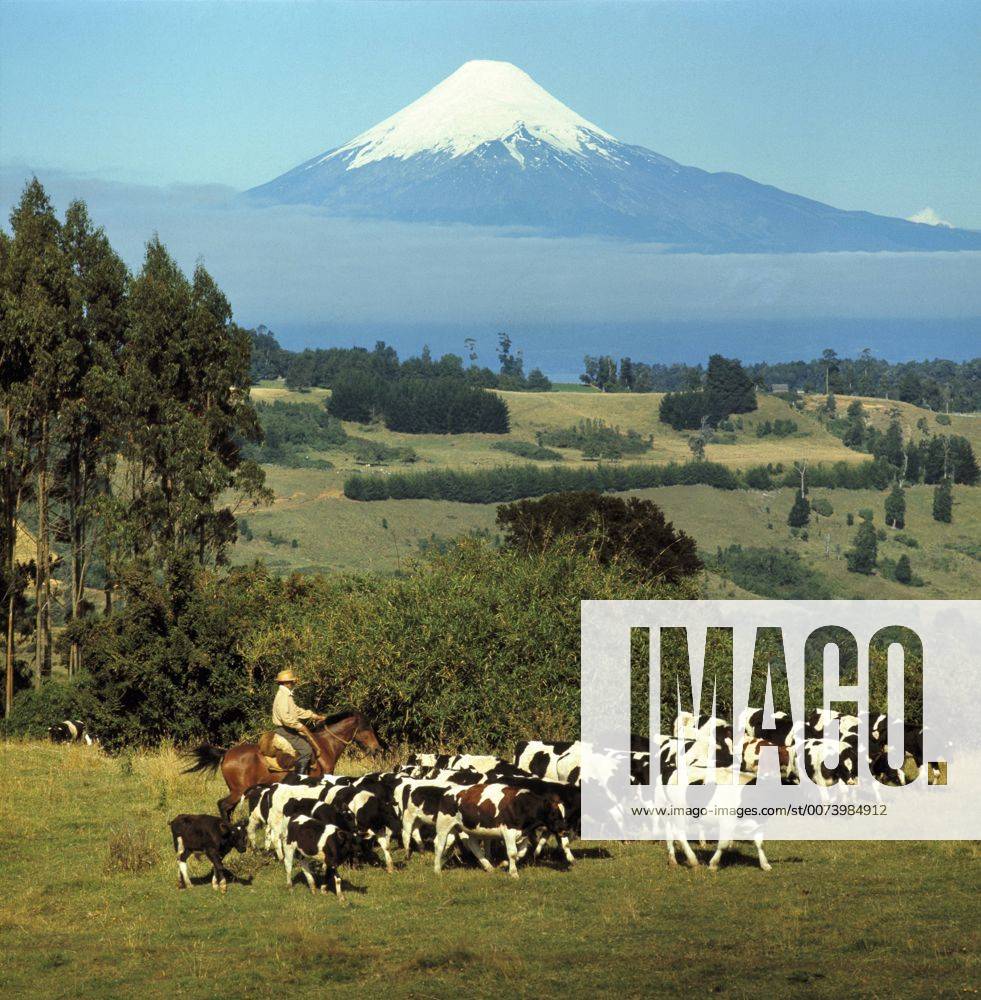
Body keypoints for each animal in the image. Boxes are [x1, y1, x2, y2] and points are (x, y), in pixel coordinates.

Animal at [186, 704, 384, 820]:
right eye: (366, 728)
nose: (377, 748)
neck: (326, 745)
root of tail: (226, 753)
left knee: (228, 808)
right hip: (238, 791)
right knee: (223, 805)